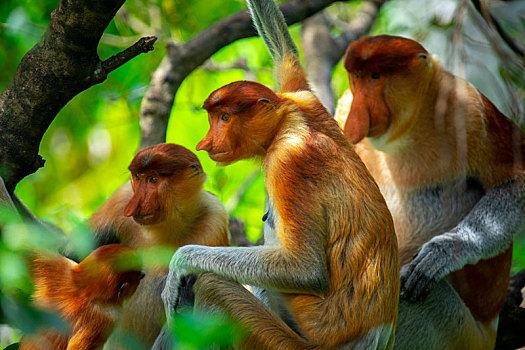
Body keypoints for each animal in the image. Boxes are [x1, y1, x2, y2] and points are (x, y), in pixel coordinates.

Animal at [154, 1, 400, 348]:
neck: (287, 121)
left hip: (280, 341)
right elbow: (284, 49)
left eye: (224, 117)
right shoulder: (302, 97)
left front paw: (180, 264)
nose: (206, 143)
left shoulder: (289, 161)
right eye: (214, 118)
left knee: (212, 285)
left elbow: (305, 270)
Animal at [336, 34, 524, 350]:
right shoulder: (342, 109)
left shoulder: (469, 107)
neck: (404, 132)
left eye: (376, 76)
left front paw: (439, 255)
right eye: (356, 78)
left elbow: (515, 182)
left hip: (459, 333)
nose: (358, 118)